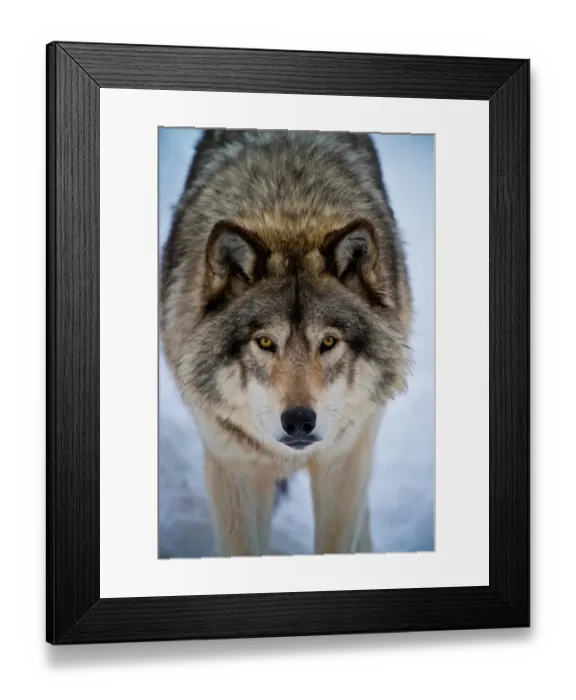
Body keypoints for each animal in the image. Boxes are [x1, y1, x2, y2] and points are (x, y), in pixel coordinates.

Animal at [160, 129, 413, 557]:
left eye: (328, 341)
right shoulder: (235, 466)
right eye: (265, 342)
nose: (298, 421)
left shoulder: (343, 460)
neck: (290, 218)